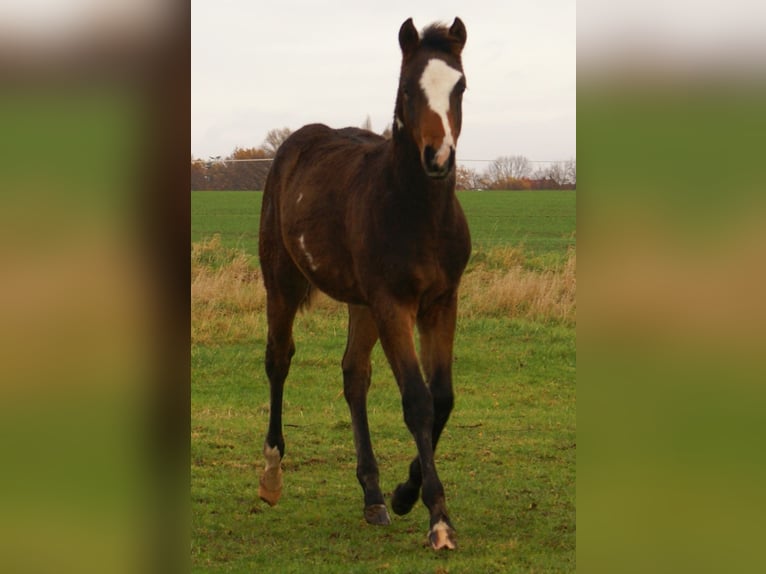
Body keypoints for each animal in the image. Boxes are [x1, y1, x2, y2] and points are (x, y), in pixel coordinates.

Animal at [257, 17, 470, 551]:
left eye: (459, 86)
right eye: (407, 88)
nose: (438, 157)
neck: (418, 213)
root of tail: (296, 143)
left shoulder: (441, 302)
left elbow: (442, 398)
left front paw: (403, 494)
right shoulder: (394, 304)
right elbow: (417, 400)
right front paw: (438, 518)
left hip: (363, 304)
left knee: (355, 375)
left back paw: (373, 495)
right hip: (283, 282)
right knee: (278, 360)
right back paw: (271, 474)